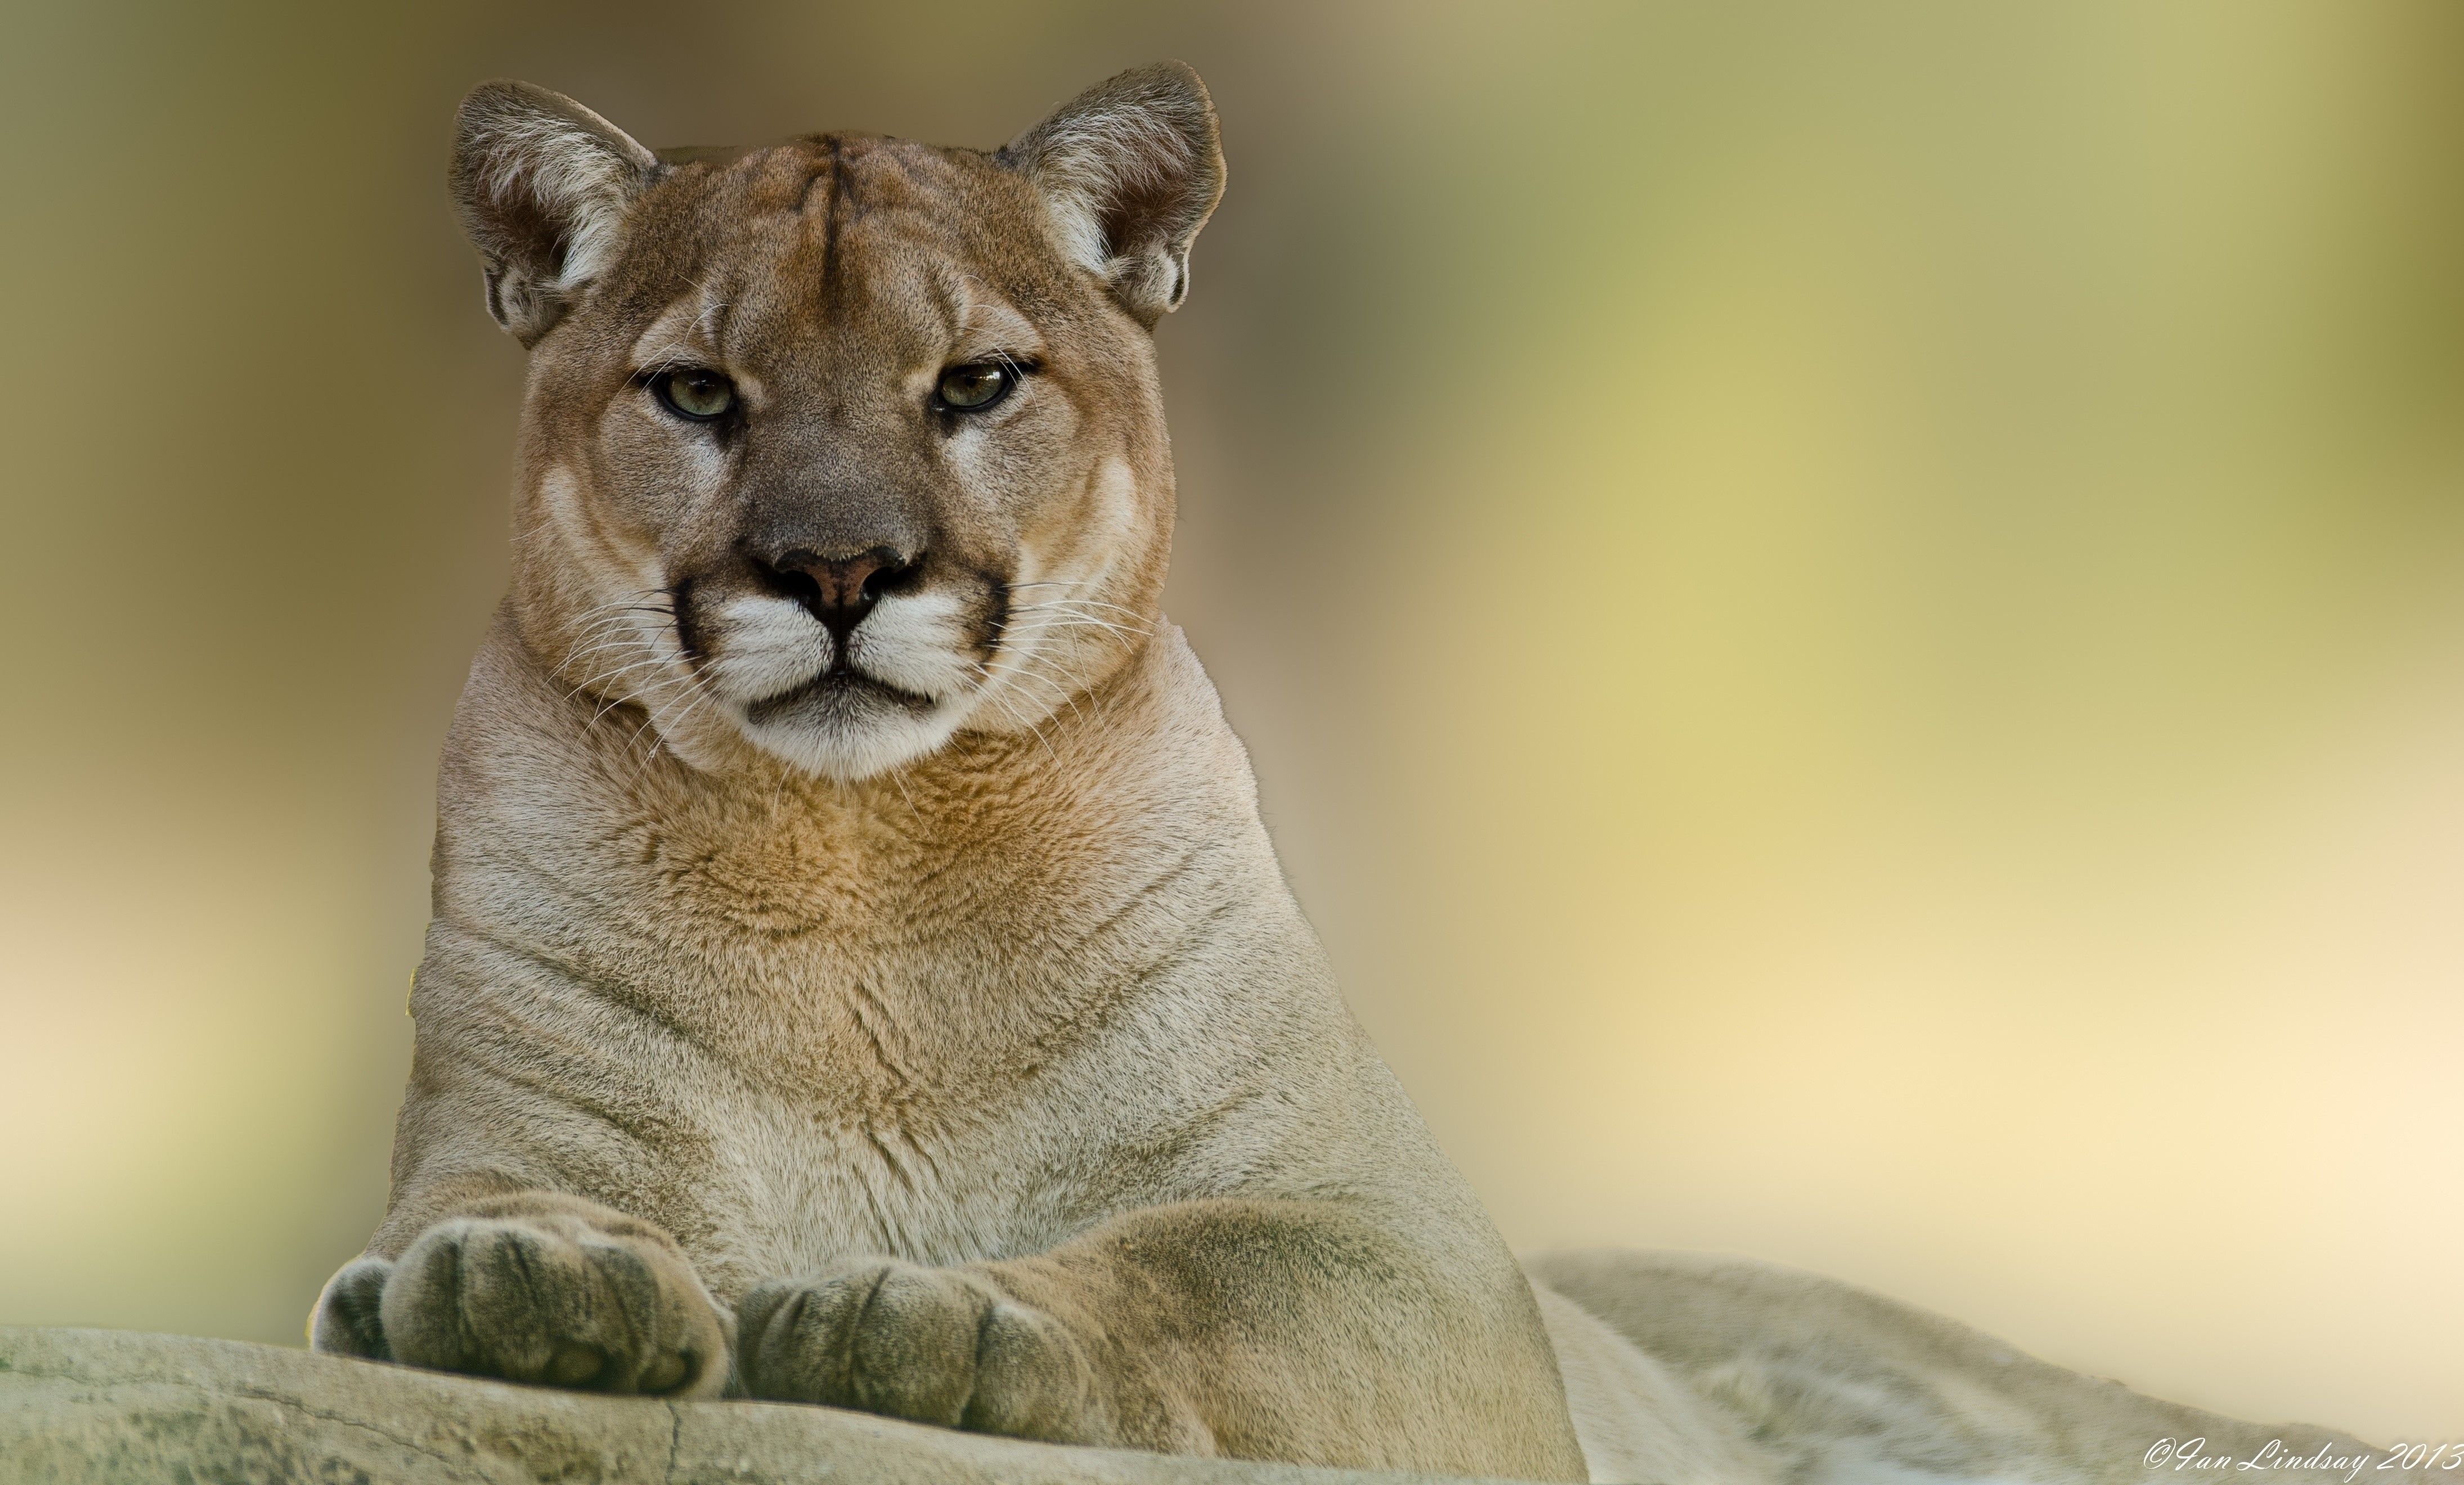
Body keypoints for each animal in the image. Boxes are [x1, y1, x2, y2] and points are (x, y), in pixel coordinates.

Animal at [311, 63, 2419, 1484]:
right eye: (696, 393)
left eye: (975, 382)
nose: (839, 571)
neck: (862, 879)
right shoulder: (505, 1132)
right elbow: (486, 1222)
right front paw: (518, 1286)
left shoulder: (1405, 1258)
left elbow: (1186, 1272)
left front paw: (935, 1309)